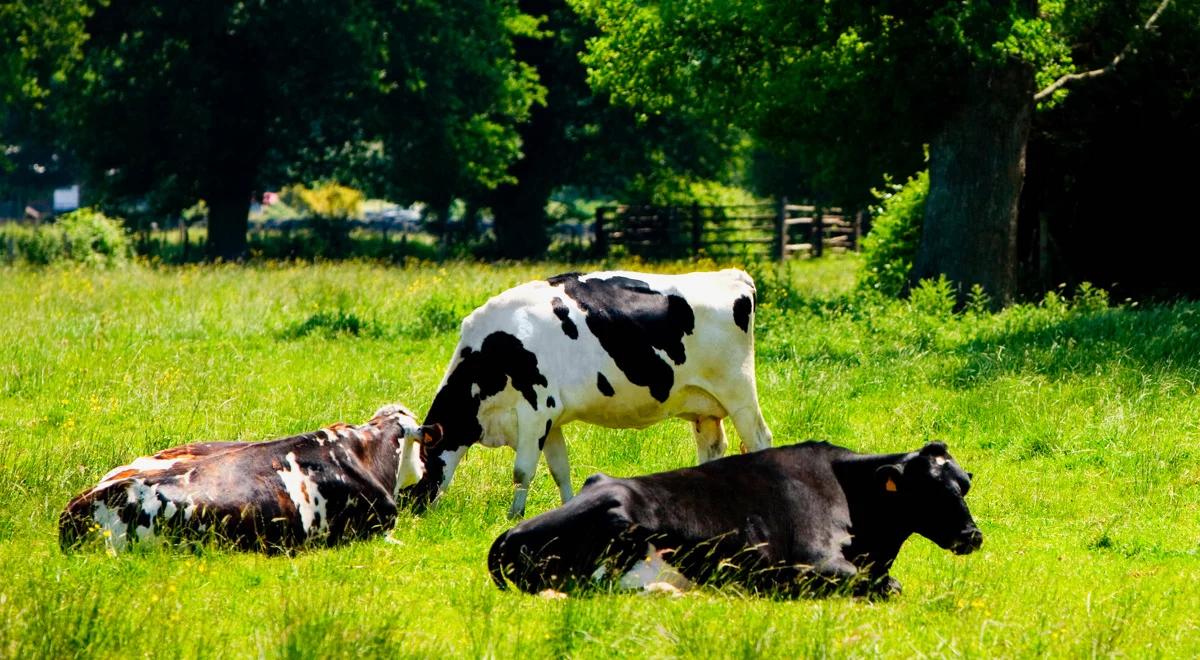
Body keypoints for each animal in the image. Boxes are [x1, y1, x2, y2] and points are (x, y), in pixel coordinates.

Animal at [405, 271, 777, 520]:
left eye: (414, 469)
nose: (405, 513)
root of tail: (733, 276)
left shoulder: (535, 409)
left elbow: (522, 471)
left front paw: (514, 515)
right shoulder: (551, 419)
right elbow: (559, 469)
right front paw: (569, 507)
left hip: (739, 391)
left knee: (760, 439)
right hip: (705, 408)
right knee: (713, 449)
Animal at [487, 439, 984, 600]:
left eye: (962, 485)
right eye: (929, 489)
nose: (972, 535)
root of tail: (512, 531)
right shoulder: (812, 563)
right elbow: (887, 586)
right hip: (616, 525)